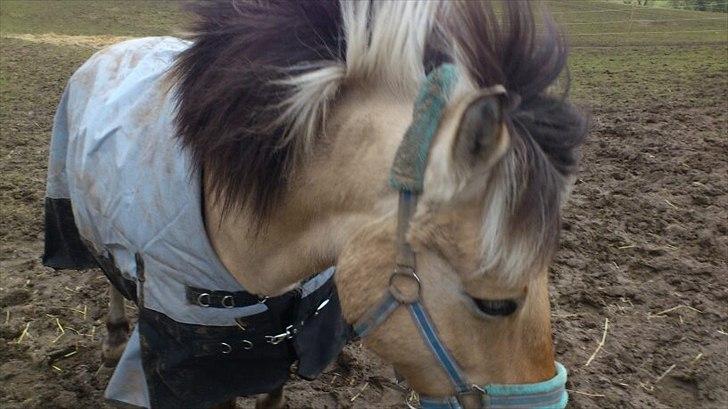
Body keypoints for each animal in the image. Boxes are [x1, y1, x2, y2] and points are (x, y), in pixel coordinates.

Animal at [42, 1, 587, 408]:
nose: (550, 403)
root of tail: (112, 50)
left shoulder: (288, 343)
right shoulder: (200, 365)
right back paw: (115, 339)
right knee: (108, 275)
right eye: (496, 304)